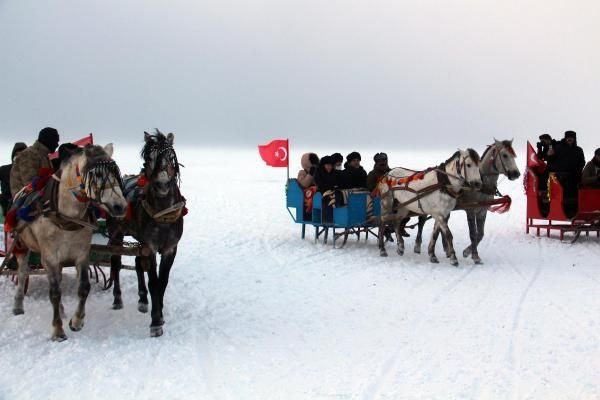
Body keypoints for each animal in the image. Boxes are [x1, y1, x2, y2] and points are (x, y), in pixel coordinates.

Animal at [12, 144, 126, 340]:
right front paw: (58, 331)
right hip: (23, 245)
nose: (121, 206)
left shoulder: (82, 254)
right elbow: (54, 293)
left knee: (56, 279)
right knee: (22, 273)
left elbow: (84, 288)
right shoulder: (49, 257)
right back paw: (18, 306)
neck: (65, 216)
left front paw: (77, 321)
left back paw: (63, 311)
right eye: (97, 175)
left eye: (116, 173)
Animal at [106, 131, 184, 338]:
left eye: (171, 157)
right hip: (116, 234)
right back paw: (117, 299)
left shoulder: (170, 249)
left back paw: (142, 299)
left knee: (137, 263)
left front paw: (160, 313)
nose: (163, 183)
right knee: (116, 264)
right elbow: (154, 282)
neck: (163, 214)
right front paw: (155, 321)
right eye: (149, 158)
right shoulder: (151, 246)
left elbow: (162, 282)